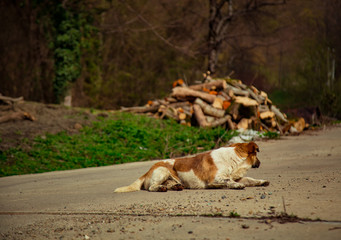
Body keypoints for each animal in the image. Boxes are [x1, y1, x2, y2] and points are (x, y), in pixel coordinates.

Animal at [114, 142, 268, 192]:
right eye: (257, 154)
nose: (260, 163)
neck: (233, 159)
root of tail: (147, 171)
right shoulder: (214, 179)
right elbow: (228, 181)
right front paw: (236, 186)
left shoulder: (238, 177)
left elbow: (250, 179)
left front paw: (262, 182)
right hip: (163, 170)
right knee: (152, 187)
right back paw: (160, 188)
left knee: (171, 184)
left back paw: (176, 187)